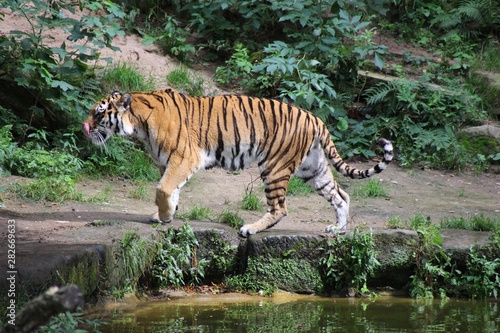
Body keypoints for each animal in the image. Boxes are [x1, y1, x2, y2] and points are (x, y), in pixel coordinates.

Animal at [83, 88, 394, 236]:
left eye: (98, 113)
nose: (84, 127)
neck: (139, 124)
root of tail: (315, 117)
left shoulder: (184, 157)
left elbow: (163, 188)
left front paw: (164, 216)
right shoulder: (168, 162)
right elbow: (170, 190)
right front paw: (165, 214)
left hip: (275, 166)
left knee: (280, 208)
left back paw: (250, 229)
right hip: (312, 168)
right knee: (341, 195)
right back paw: (337, 229)